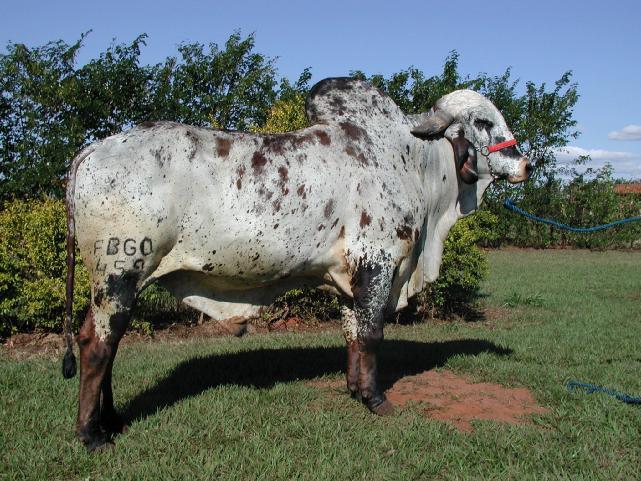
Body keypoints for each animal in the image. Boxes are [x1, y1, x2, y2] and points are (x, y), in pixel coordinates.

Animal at [62, 77, 528, 448]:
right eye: (483, 123)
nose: (525, 163)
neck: (412, 160)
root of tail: (93, 149)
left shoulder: (349, 275)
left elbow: (353, 335)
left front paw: (355, 389)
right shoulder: (376, 263)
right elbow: (373, 335)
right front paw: (377, 400)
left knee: (103, 341)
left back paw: (110, 421)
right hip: (119, 272)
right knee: (98, 346)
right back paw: (90, 434)